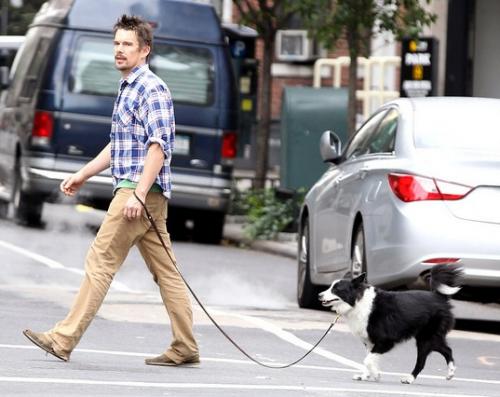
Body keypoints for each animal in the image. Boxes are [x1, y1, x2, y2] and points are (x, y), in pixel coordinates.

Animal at [318, 264, 462, 382]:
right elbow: (369, 358)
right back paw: (450, 372)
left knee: (423, 360)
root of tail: (439, 297)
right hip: (430, 337)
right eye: (330, 287)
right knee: (447, 350)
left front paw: (376, 374)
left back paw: (410, 378)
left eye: (336, 289)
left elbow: (367, 360)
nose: (319, 295)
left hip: (426, 338)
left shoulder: (385, 341)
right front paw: (365, 375)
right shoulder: (370, 342)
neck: (359, 302)